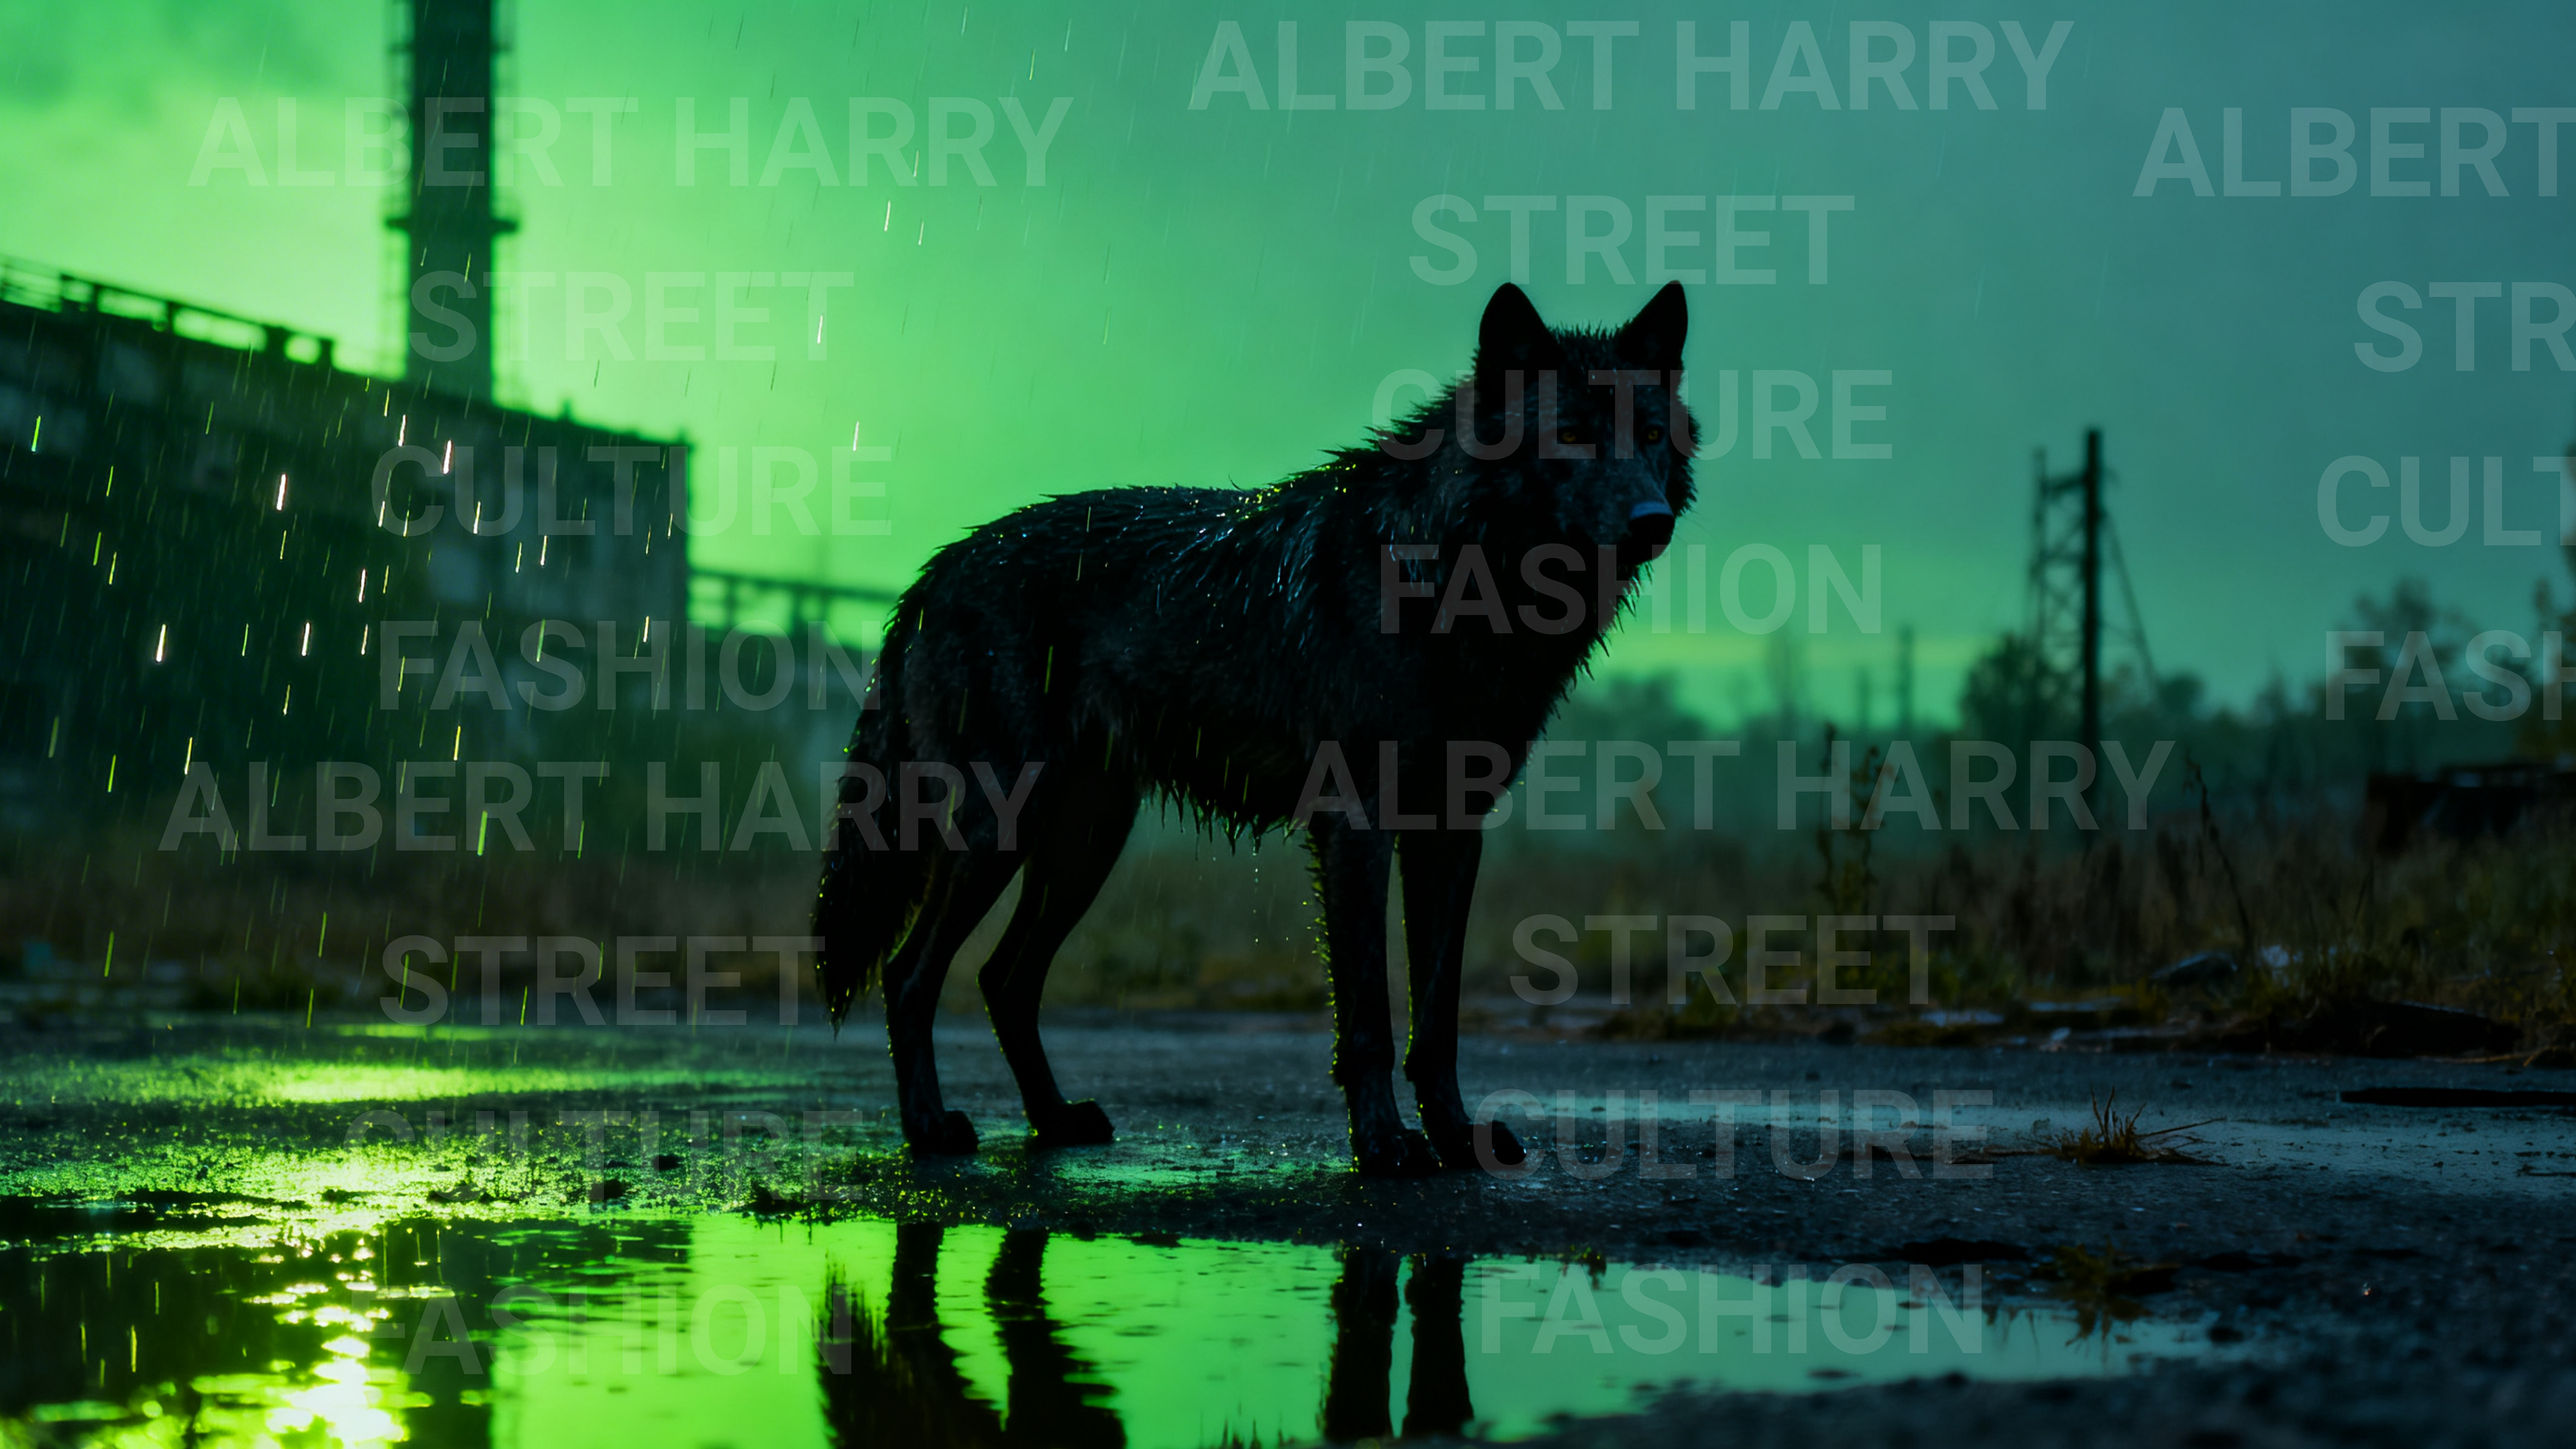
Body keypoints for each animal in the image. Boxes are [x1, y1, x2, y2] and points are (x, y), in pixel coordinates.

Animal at [814, 280, 1696, 1176]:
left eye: (1651, 435)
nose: (1653, 520)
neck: (1458, 582)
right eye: (1573, 435)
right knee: (910, 975)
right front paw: (1384, 1145)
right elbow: (1370, 1019)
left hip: (1083, 845)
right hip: (1002, 831)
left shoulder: (1453, 832)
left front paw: (1455, 1139)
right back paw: (931, 1130)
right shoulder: (1357, 824)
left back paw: (1055, 1121)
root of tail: (933, 574)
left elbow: (1438, 1022)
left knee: (1003, 978)